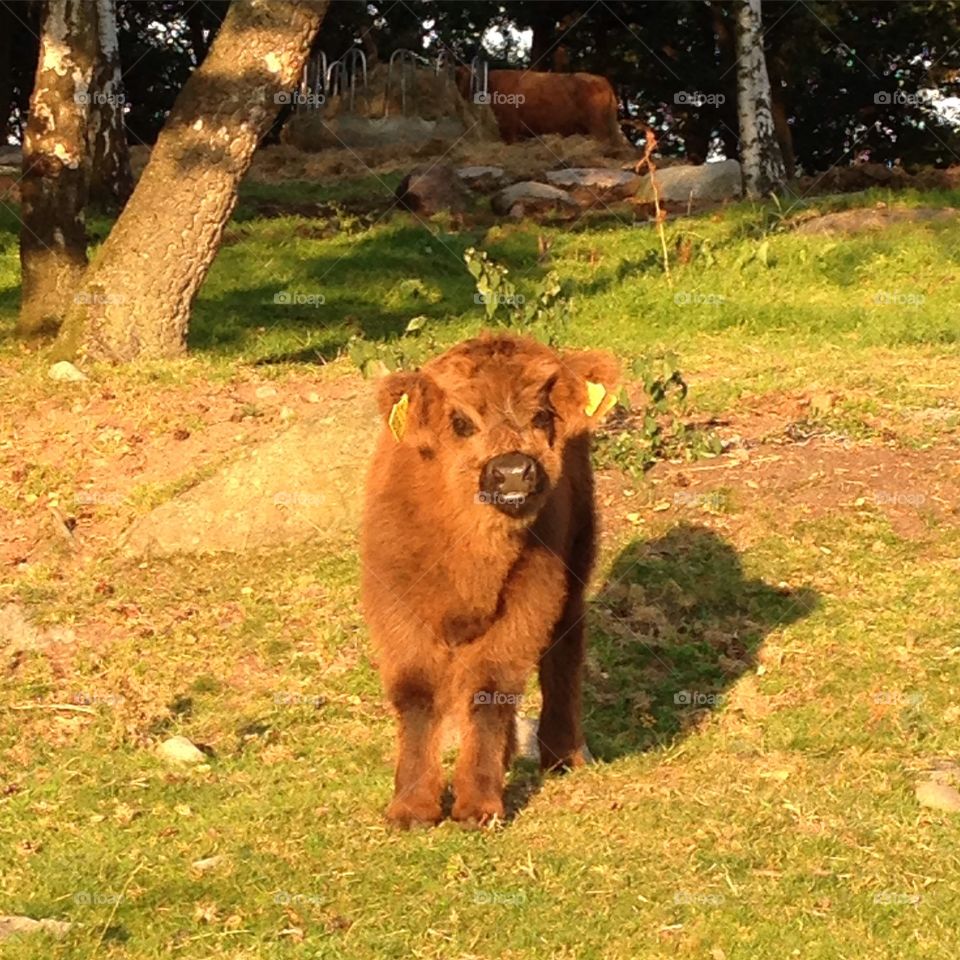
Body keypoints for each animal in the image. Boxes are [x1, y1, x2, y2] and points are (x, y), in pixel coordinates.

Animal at [361, 333, 619, 827]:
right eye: (460, 421)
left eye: (541, 416)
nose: (514, 471)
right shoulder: (396, 606)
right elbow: (416, 693)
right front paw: (412, 806)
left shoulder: (528, 601)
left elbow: (490, 689)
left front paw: (478, 803)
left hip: (575, 569)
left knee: (563, 653)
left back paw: (563, 754)